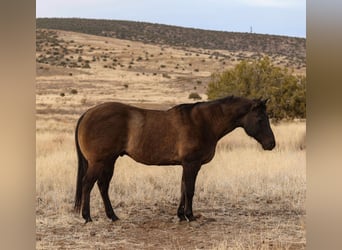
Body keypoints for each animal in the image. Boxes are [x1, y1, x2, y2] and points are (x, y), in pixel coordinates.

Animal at [74, 95, 276, 223]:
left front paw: (180, 215)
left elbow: (183, 189)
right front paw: (190, 215)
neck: (204, 122)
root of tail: (87, 113)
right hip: (99, 162)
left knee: (102, 186)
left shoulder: (186, 165)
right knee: (88, 184)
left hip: (109, 161)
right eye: (260, 119)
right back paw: (87, 217)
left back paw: (113, 216)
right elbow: (190, 190)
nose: (271, 144)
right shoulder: (192, 164)